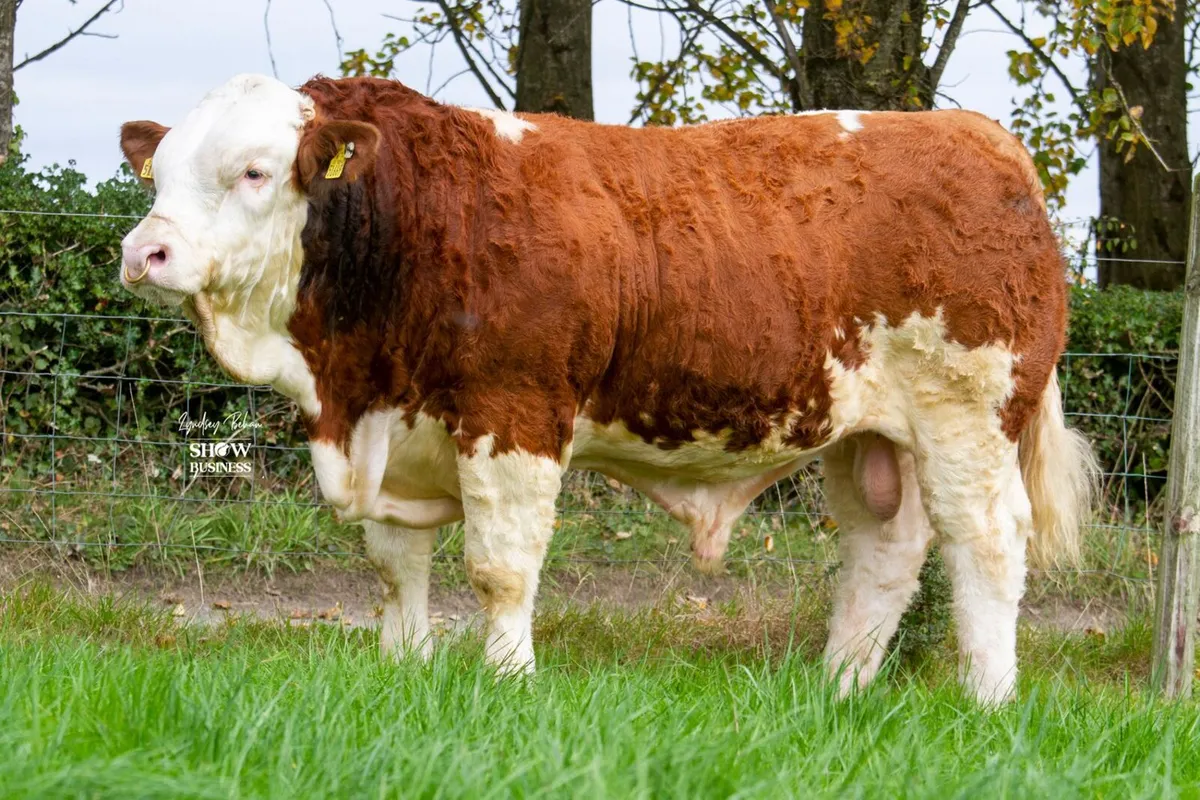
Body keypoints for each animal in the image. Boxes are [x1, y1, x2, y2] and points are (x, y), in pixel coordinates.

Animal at [117, 73, 1098, 704]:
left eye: (252, 171)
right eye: (159, 173)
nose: (144, 251)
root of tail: (981, 138)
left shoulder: (514, 413)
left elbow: (500, 566)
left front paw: (508, 682)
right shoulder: (396, 432)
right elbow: (396, 564)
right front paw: (406, 669)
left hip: (966, 417)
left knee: (986, 544)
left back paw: (987, 700)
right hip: (869, 436)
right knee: (883, 554)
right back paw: (839, 693)